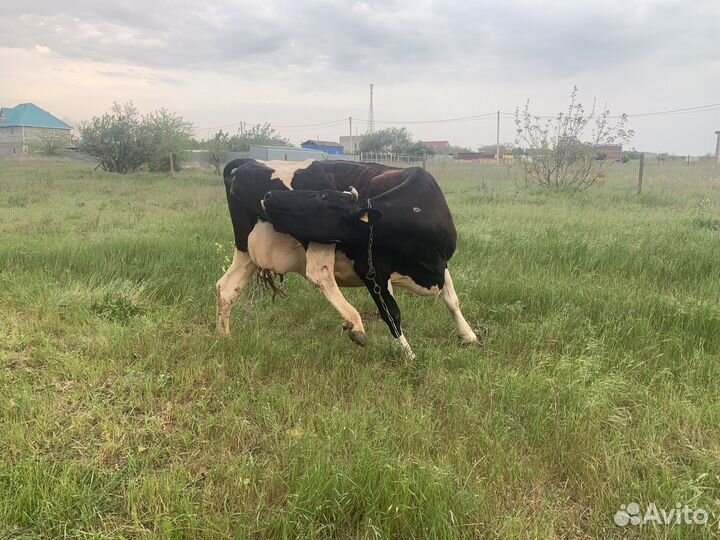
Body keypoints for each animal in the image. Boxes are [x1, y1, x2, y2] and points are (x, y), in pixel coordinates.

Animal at [216, 158, 477, 358]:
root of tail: (246, 163)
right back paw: (355, 323)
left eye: (321, 196)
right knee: (319, 274)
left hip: (246, 250)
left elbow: (452, 300)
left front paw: (469, 336)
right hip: (317, 243)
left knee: (226, 288)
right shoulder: (371, 269)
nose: (270, 195)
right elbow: (391, 313)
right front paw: (409, 355)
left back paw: (224, 338)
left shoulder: (441, 264)